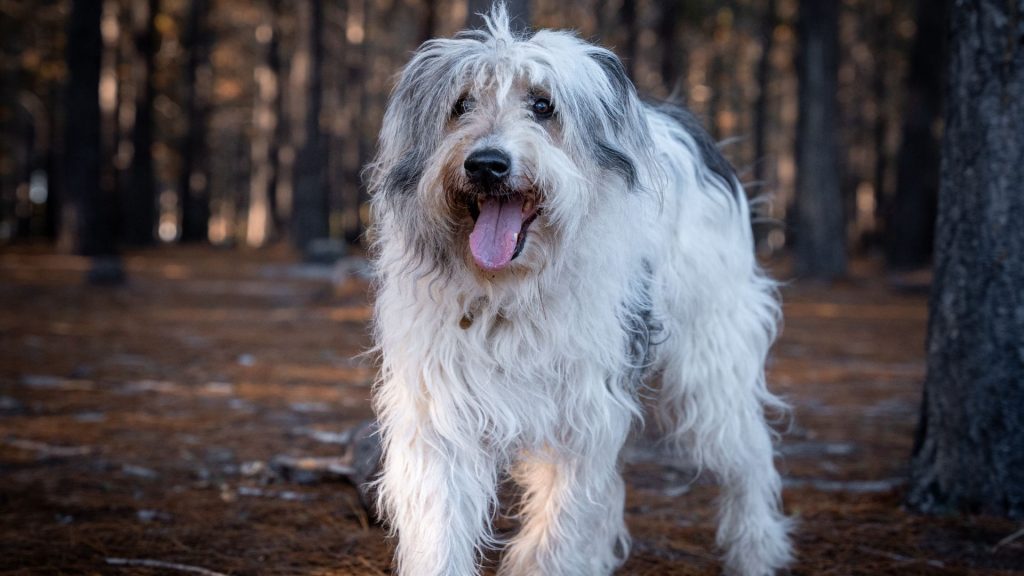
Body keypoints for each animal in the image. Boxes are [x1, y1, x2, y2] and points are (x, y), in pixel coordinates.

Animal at [366, 5, 790, 573]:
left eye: (543, 105)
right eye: (461, 104)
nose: (486, 164)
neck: (509, 290)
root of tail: (681, 122)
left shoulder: (583, 412)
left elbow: (560, 523)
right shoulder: (439, 410)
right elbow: (442, 525)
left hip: (711, 365)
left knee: (748, 457)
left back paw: (756, 549)